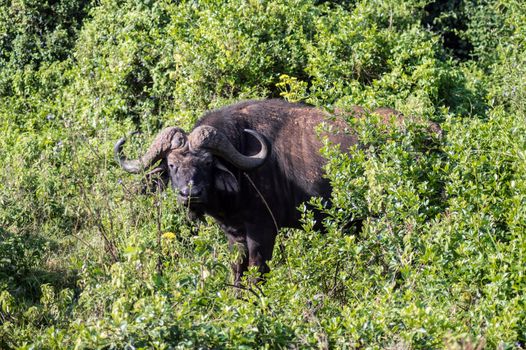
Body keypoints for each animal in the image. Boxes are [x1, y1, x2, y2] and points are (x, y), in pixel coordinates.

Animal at [114, 98, 428, 284]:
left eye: (207, 163)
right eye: (171, 164)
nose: (190, 194)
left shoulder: (263, 231)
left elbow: (257, 271)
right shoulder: (235, 235)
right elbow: (237, 270)